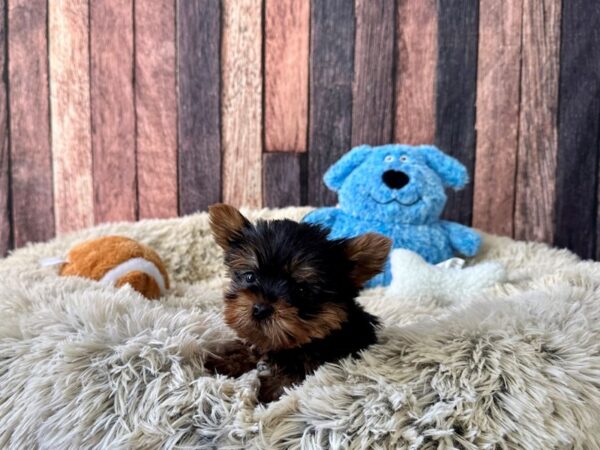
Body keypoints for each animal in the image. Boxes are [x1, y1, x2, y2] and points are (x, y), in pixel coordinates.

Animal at [206, 206, 392, 402]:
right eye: (250, 277)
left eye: (301, 290)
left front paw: (271, 389)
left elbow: (299, 368)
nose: (261, 309)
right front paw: (227, 360)